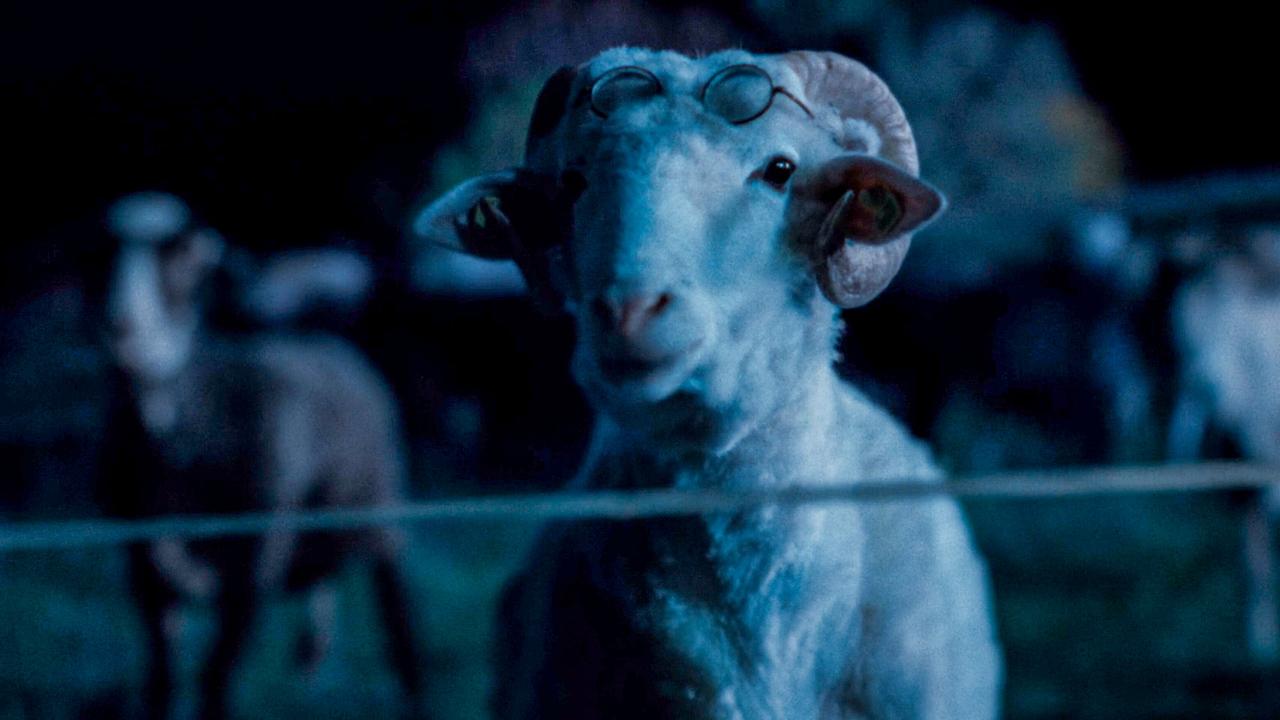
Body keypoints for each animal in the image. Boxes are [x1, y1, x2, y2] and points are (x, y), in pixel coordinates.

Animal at [93, 192, 423, 719]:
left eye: (183, 255)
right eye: (98, 254)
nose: (121, 326)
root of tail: (323, 338)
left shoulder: (253, 565)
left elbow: (215, 677)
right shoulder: (142, 563)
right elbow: (162, 678)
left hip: (381, 507)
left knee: (400, 621)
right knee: (321, 584)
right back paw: (311, 658)